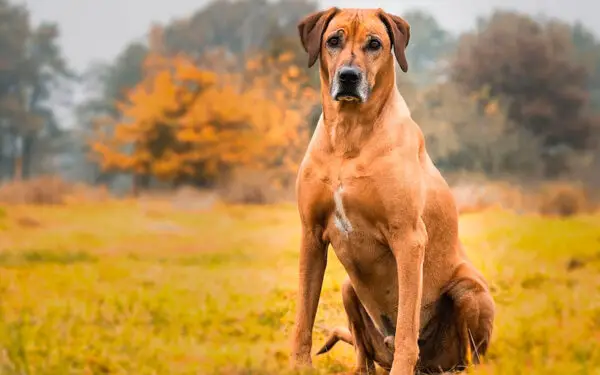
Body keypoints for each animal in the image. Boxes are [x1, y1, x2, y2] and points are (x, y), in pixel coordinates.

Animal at [288, 6, 494, 375]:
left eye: (375, 44)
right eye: (333, 40)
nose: (349, 76)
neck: (349, 135)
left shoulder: (409, 239)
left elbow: (407, 327)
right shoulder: (310, 234)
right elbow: (303, 316)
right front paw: (298, 365)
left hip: (469, 291)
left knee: (468, 354)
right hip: (348, 288)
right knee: (363, 352)